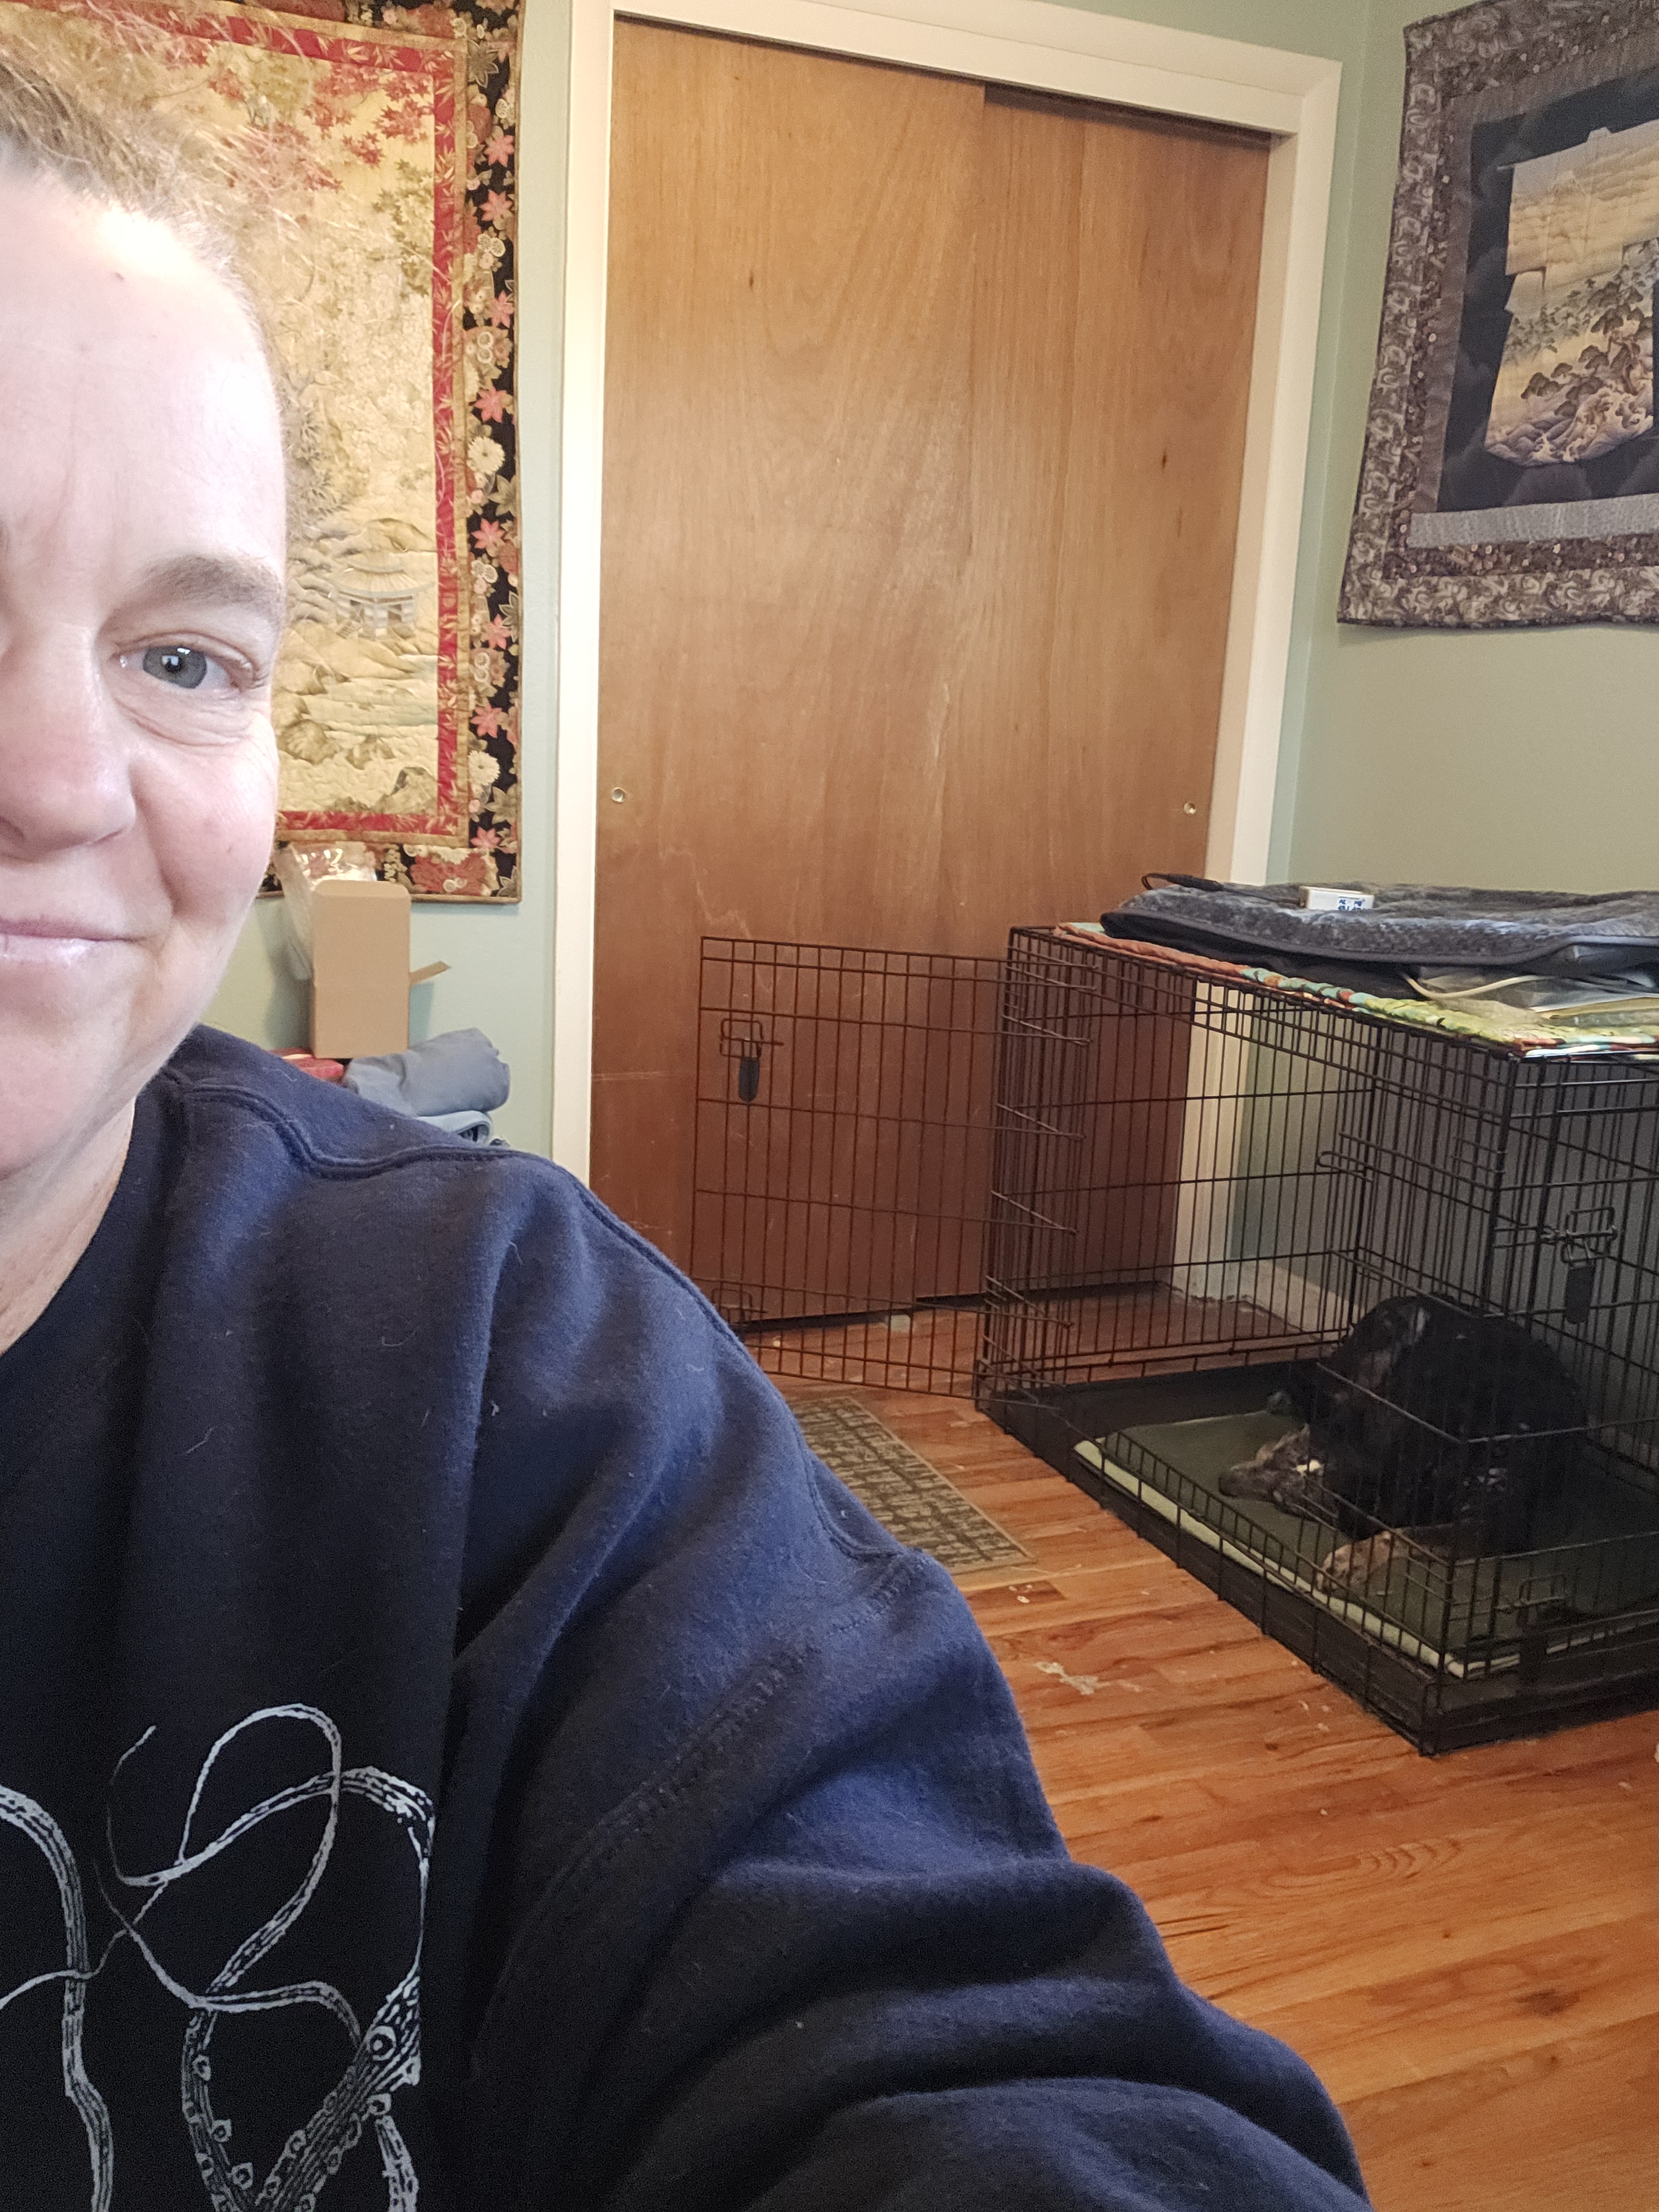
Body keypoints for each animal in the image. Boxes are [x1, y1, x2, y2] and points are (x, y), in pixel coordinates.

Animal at [1217, 1294, 1583, 1587]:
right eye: (1274, 1460)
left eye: (1283, 1502)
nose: (1223, 1482)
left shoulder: (1495, 1525)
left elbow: (1402, 1534)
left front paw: (1352, 1559)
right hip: (1372, 1352)